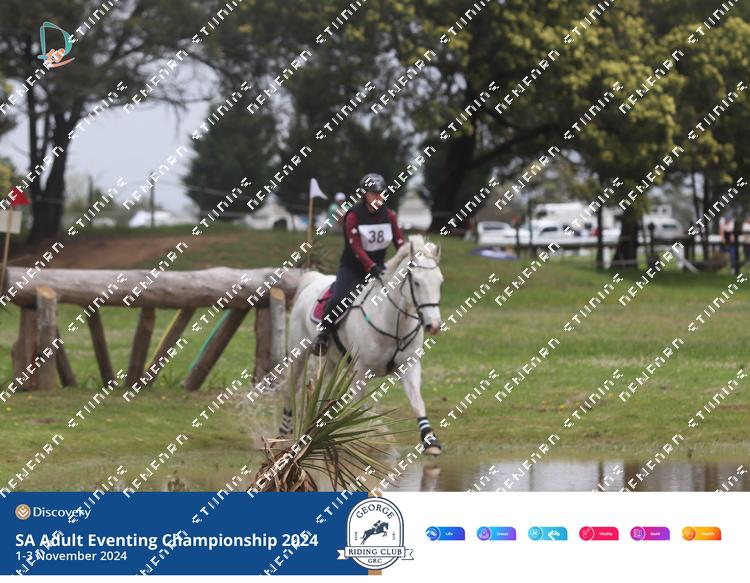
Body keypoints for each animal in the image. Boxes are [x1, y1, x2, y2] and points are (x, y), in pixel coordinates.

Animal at [280, 234, 444, 455]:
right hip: (299, 355)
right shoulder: (361, 372)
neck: (393, 322)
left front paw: (430, 441)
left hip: (332, 362)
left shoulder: (410, 366)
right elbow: (363, 408)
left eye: (440, 283)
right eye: (416, 282)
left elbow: (417, 403)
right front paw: (378, 442)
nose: (433, 325)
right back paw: (285, 433)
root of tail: (313, 279)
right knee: (291, 389)